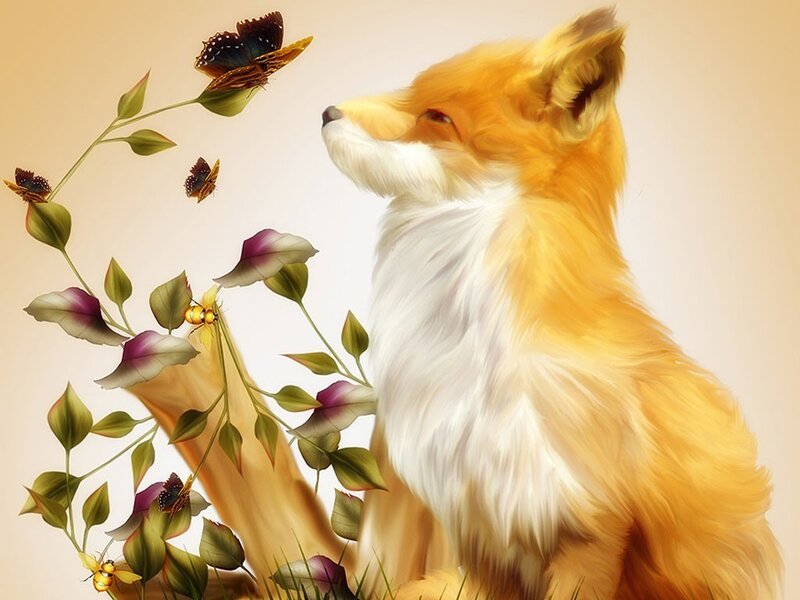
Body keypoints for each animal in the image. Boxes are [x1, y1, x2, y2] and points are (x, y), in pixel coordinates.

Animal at [321, 7, 782, 600]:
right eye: (412, 88)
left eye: (437, 116)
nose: (326, 112)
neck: (476, 357)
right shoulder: (475, 524)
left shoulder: (588, 530)